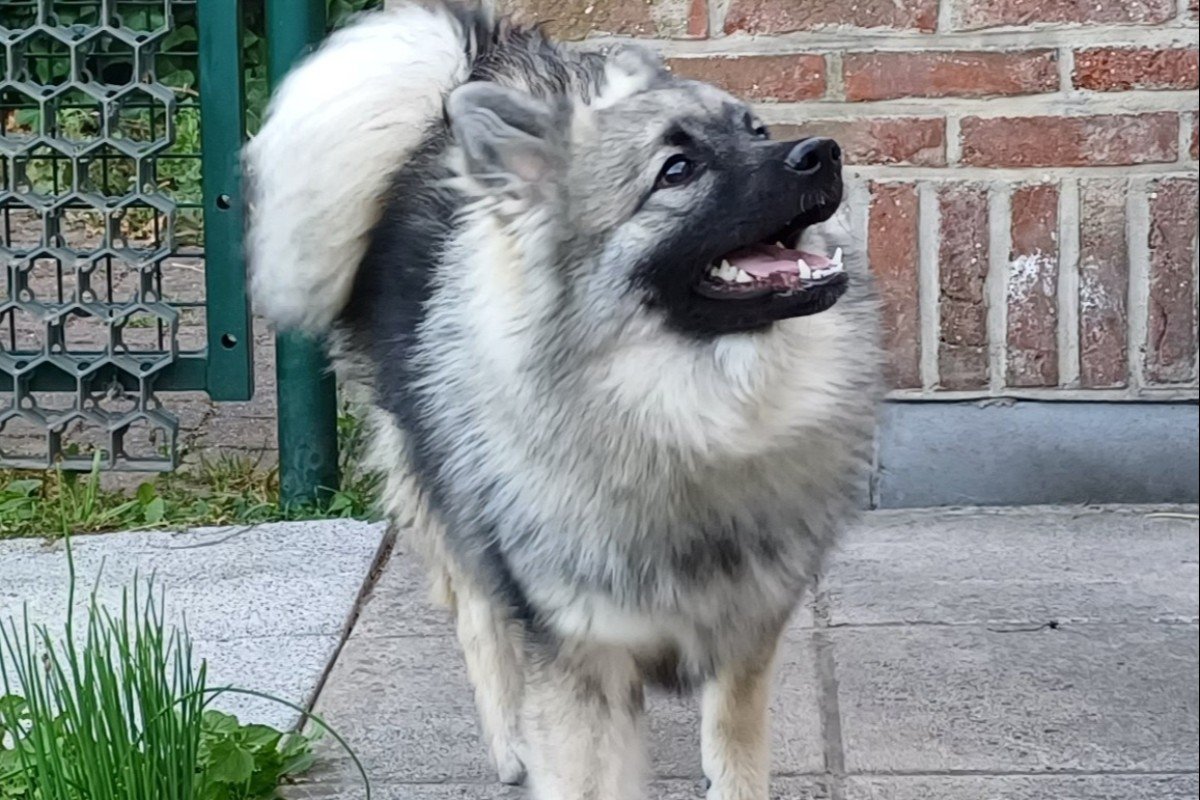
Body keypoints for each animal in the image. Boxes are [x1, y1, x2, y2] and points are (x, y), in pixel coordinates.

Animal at [245, 3, 882, 797]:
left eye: (756, 132)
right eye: (676, 170)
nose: (823, 152)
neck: (683, 412)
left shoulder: (744, 639)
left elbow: (735, 758)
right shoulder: (580, 658)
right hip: (448, 496)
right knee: (477, 613)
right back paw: (510, 741)